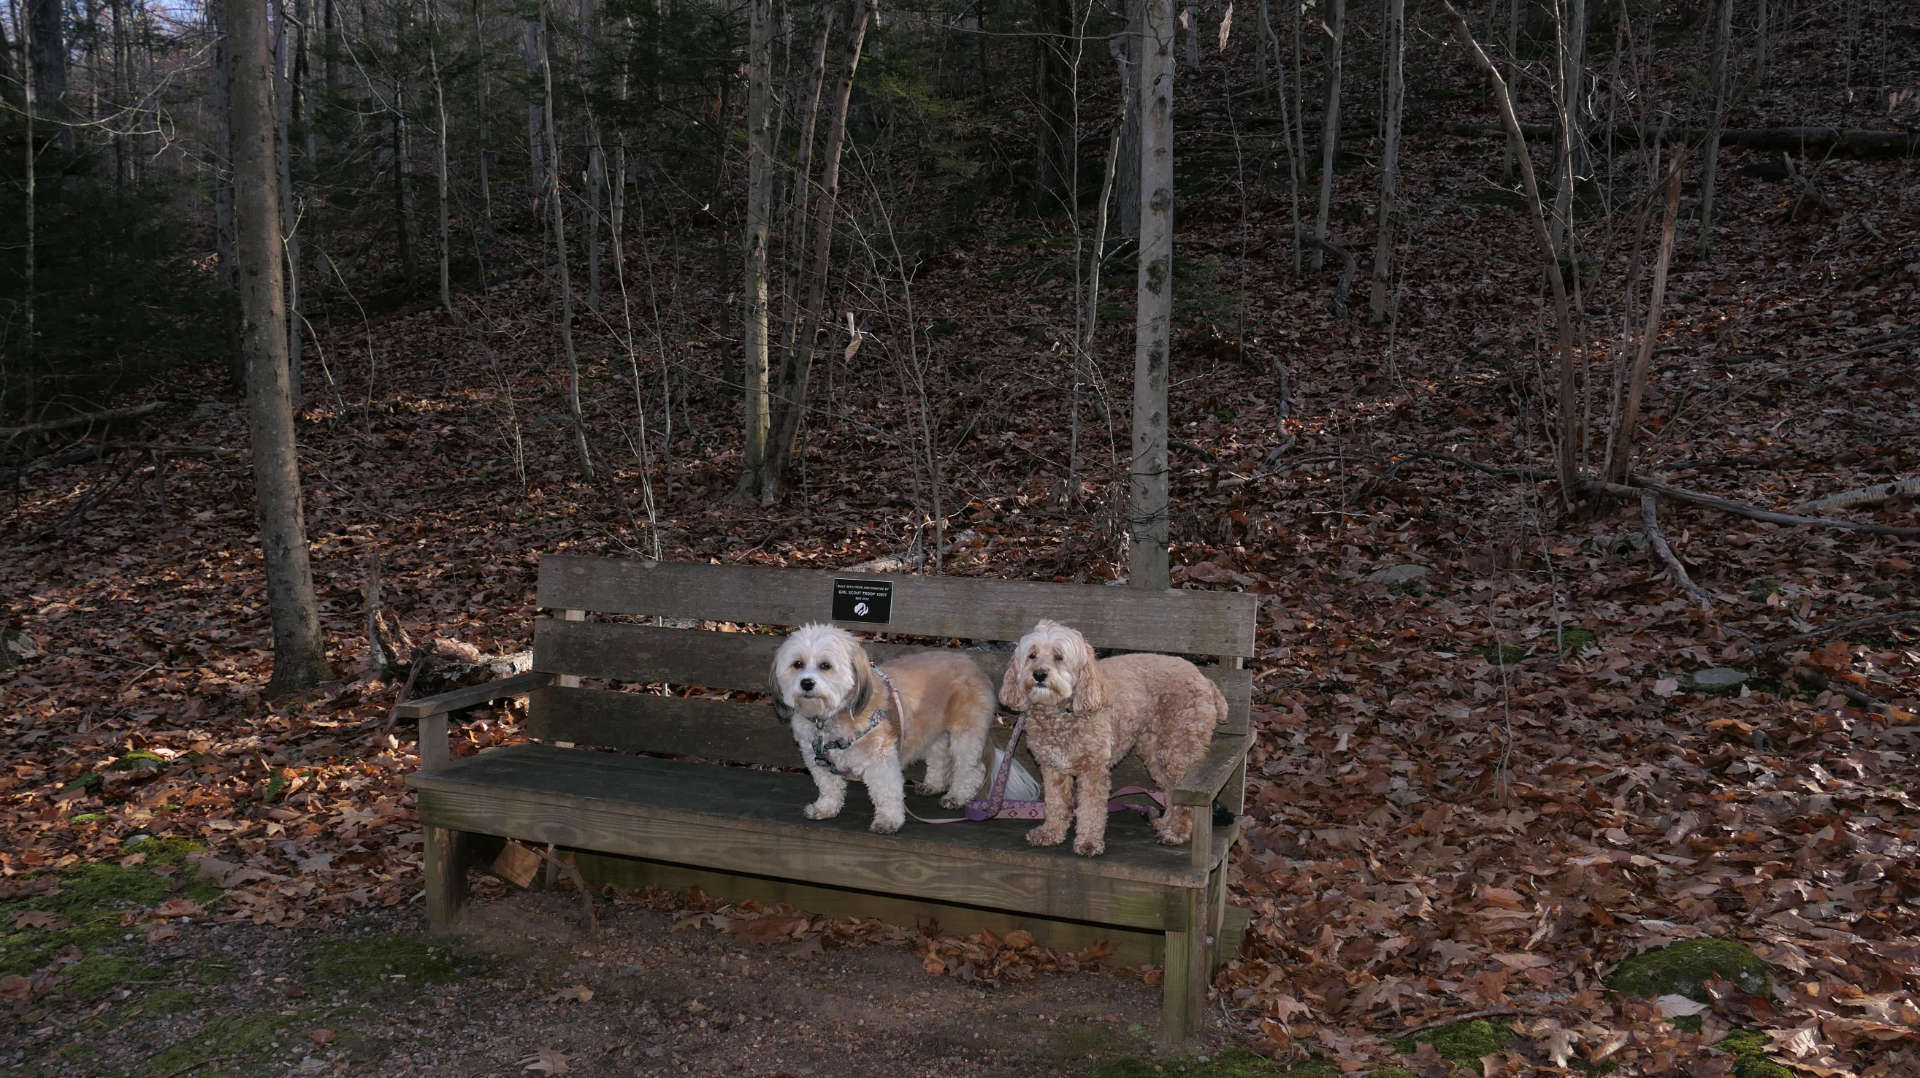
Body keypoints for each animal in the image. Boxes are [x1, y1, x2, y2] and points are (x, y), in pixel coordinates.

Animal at [771, 622, 998, 833]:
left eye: (825, 665)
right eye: (797, 664)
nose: (806, 683)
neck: (830, 717)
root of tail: (971, 663)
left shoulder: (880, 758)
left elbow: (886, 792)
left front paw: (888, 820)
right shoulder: (816, 758)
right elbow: (829, 787)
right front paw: (825, 808)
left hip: (966, 734)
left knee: (971, 769)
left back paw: (957, 795)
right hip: (934, 730)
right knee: (940, 758)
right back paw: (933, 784)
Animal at [998, 618, 1221, 853]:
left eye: (1059, 656)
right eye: (1032, 655)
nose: (1039, 674)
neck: (1061, 712)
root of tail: (1204, 680)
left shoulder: (1094, 770)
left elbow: (1091, 809)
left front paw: (1088, 841)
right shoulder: (1053, 769)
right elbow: (1056, 804)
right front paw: (1050, 833)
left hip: (1179, 751)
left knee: (1183, 800)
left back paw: (1176, 832)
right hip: (1155, 753)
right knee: (1169, 791)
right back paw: (1165, 822)